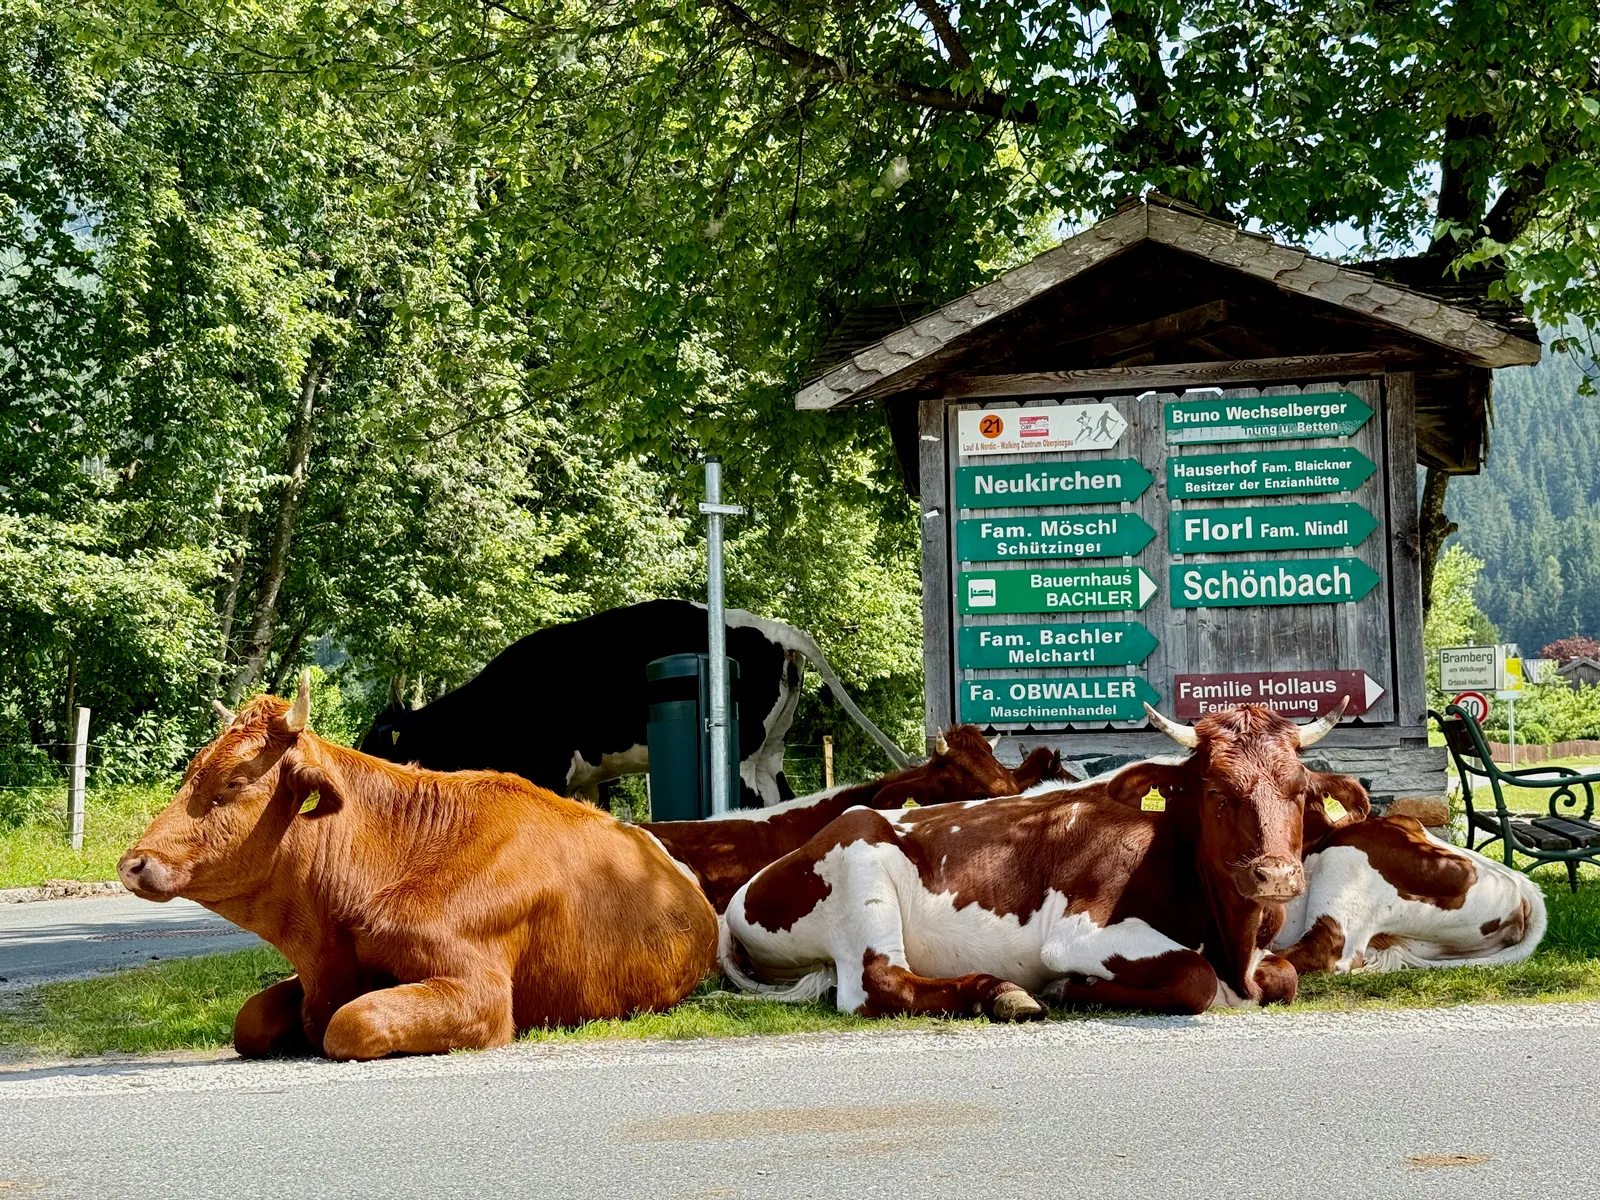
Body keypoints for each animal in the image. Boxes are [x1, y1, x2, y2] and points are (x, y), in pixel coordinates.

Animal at [117, 672, 718, 1060]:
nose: (132, 863)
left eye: (235, 782)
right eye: (191, 771)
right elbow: (252, 1019)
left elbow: (351, 1022)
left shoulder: (481, 993)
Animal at [357, 599, 909, 808]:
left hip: (744, 757)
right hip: (770, 753)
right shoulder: (585, 780)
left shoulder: (544, 769)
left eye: (378, 748)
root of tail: (772, 629)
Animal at [719, 702, 1357, 1019]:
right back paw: (1002, 993)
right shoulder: (1079, 932)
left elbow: (1285, 977)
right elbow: (1195, 976)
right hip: (861, 871)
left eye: (1299, 790)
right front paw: (1069, 988)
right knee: (877, 985)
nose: (1275, 874)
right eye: (1217, 792)